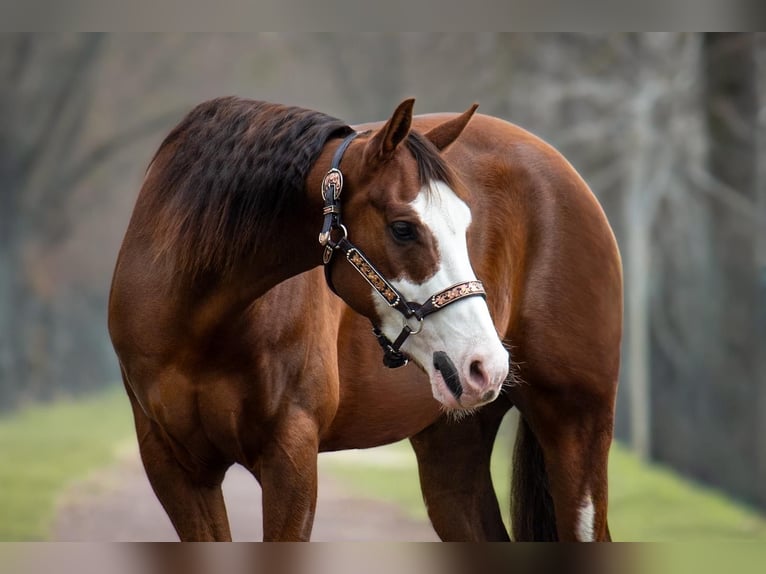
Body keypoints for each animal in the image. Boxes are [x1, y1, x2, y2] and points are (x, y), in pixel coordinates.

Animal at [108, 97, 623, 542]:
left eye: (466, 225)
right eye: (403, 228)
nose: (486, 366)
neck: (196, 323)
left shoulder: (290, 457)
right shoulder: (173, 468)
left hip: (577, 424)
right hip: (452, 448)